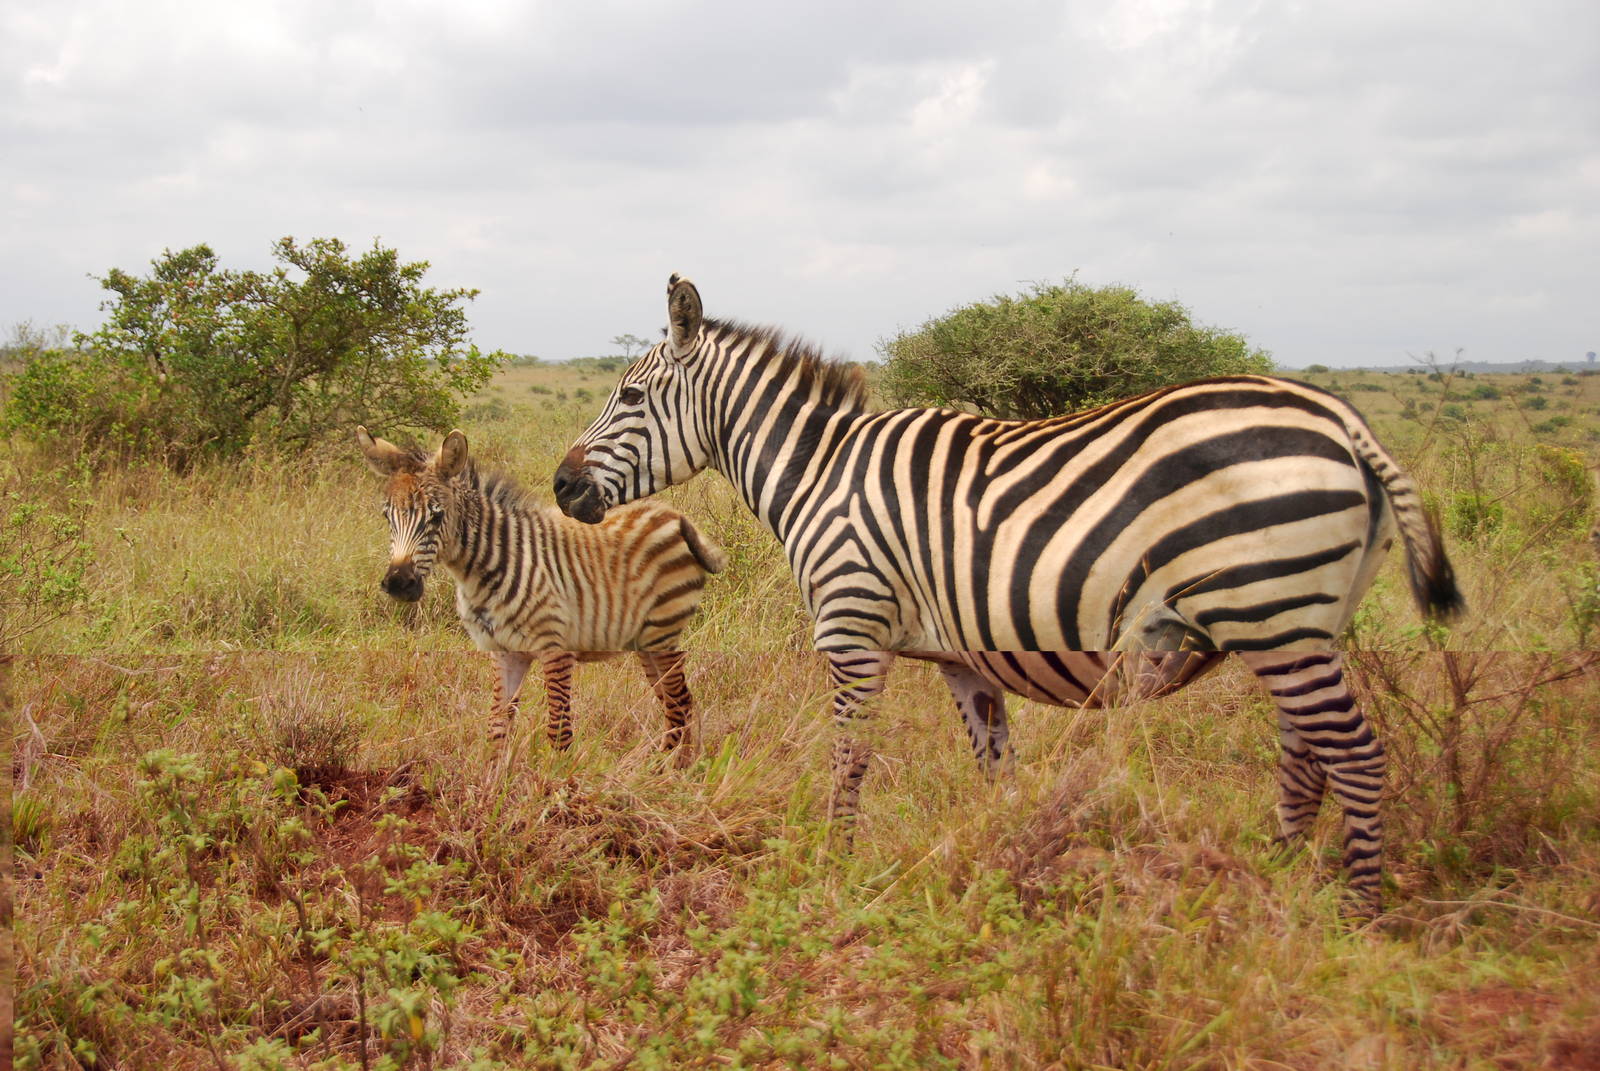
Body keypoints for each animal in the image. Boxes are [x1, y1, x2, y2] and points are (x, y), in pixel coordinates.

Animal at [357, 425, 726, 752]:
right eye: (387, 516)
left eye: (436, 516)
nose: (399, 583)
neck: (482, 570)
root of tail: (674, 515)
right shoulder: (504, 652)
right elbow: (497, 728)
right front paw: (494, 785)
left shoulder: (555, 648)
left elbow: (559, 732)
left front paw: (559, 786)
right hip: (645, 641)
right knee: (674, 703)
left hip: (663, 632)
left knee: (679, 703)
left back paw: (671, 771)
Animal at [551, 275, 1463, 913]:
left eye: (630, 395)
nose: (560, 486)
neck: (820, 474)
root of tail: (1343, 419)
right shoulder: (964, 658)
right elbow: (998, 768)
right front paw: (1003, 864)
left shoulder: (851, 626)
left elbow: (849, 757)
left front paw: (834, 864)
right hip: (1298, 625)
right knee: (1307, 756)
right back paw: (1273, 877)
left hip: (1275, 615)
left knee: (1354, 754)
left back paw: (1355, 911)